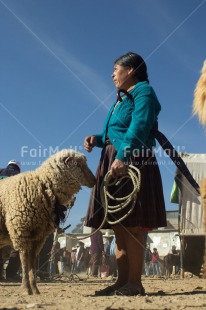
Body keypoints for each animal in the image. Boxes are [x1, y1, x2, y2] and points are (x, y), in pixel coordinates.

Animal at [0, 149, 96, 294]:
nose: (94, 180)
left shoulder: (38, 236)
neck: (42, 185)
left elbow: (32, 261)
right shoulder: (21, 231)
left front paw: (34, 288)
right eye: (79, 164)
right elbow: (24, 260)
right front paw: (26, 287)